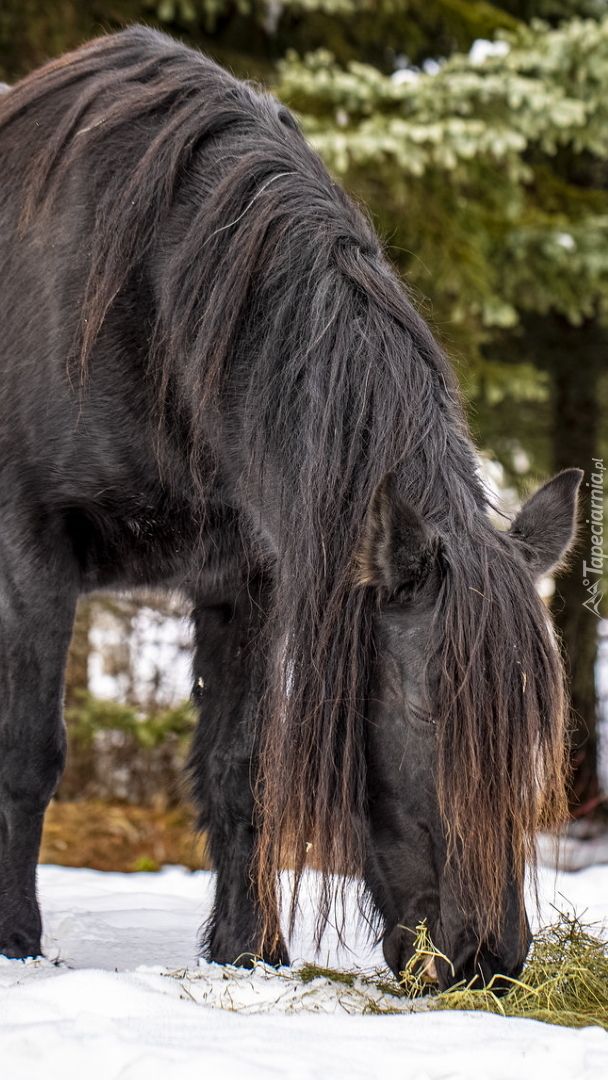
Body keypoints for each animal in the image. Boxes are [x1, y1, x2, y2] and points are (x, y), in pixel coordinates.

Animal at [0, 26, 581, 990]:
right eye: (428, 714)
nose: (488, 961)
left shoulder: (248, 578)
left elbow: (242, 771)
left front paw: (249, 951)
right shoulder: (30, 558)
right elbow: (29, 756)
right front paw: (16, 942)